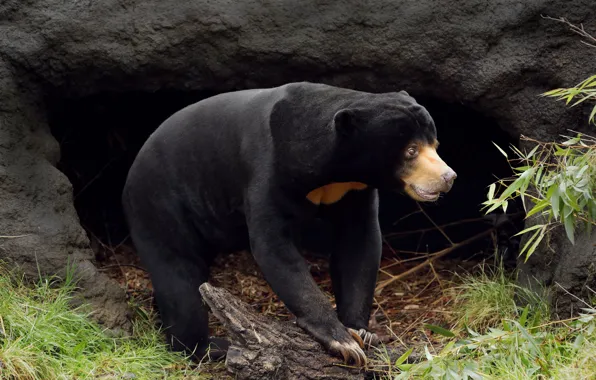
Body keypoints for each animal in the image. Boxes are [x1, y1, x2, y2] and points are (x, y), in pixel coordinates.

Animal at [121, 82, 456, 366]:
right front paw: (343, 342)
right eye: (410, 151)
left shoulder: (354, 189)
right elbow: (274, 247)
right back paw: (210, 346)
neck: (334, 170)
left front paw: (362, 332)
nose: (449, 177)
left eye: (436, 144)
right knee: (178, 277)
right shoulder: (267, 169)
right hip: (161, 204)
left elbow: (359, 244)